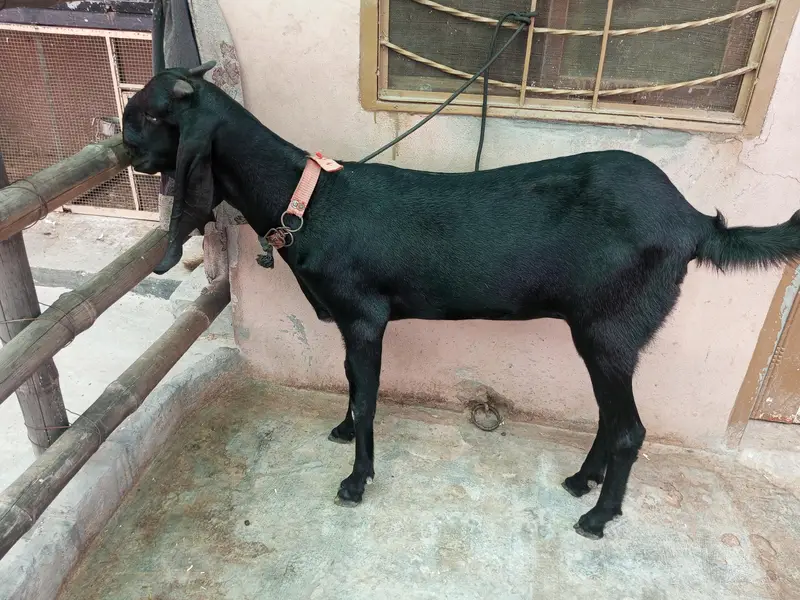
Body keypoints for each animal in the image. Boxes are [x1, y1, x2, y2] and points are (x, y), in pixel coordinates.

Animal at [123, 64, 800, 539]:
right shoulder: (351, 323)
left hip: (610, 329)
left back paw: (597, 517)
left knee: (630, 428)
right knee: (612, 419)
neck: (310, 201)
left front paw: (356, 481)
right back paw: (580, 482)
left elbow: (367, 396)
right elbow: (350, 384)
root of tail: (691, 221)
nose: (120, 147)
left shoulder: (365, 317)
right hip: (604, 333)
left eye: (148, 116)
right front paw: (342, 433)